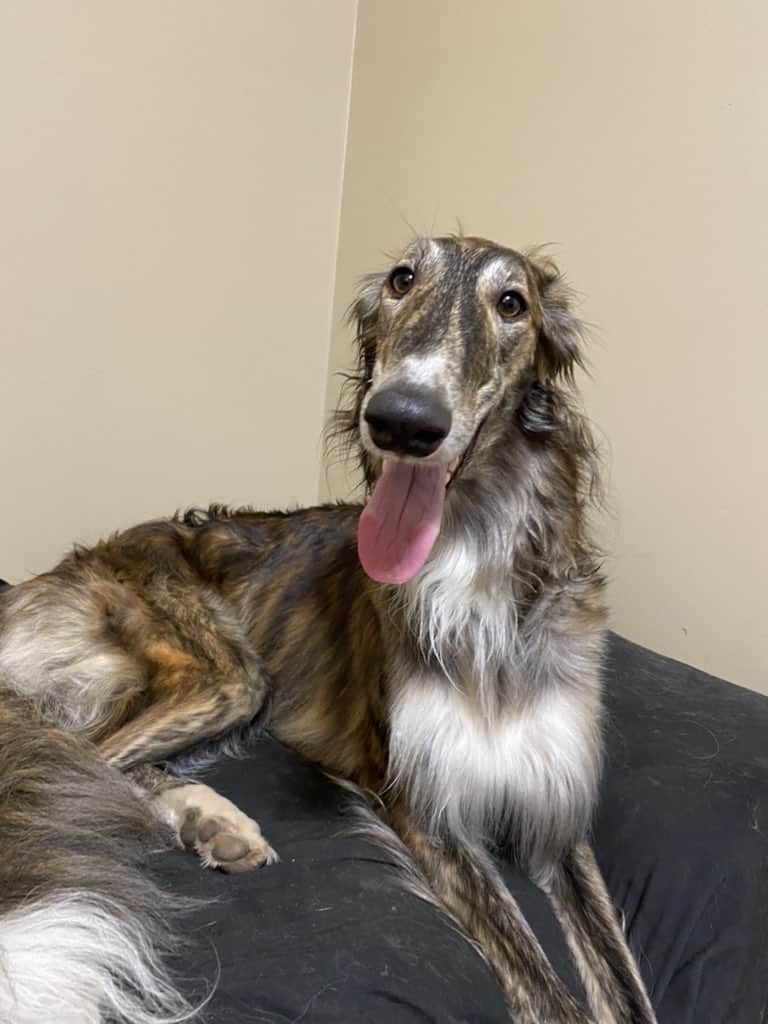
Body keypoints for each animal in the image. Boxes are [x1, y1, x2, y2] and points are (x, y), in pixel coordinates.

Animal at [1, 234, 663, 1024]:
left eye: (513, 303)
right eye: (403, 279)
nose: (401, 419)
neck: (479, 569)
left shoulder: (558, 823)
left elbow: (627, 988)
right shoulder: (423, 807)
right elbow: (547, 989)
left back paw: (209, 821)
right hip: (229, 674)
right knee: (73, 760)